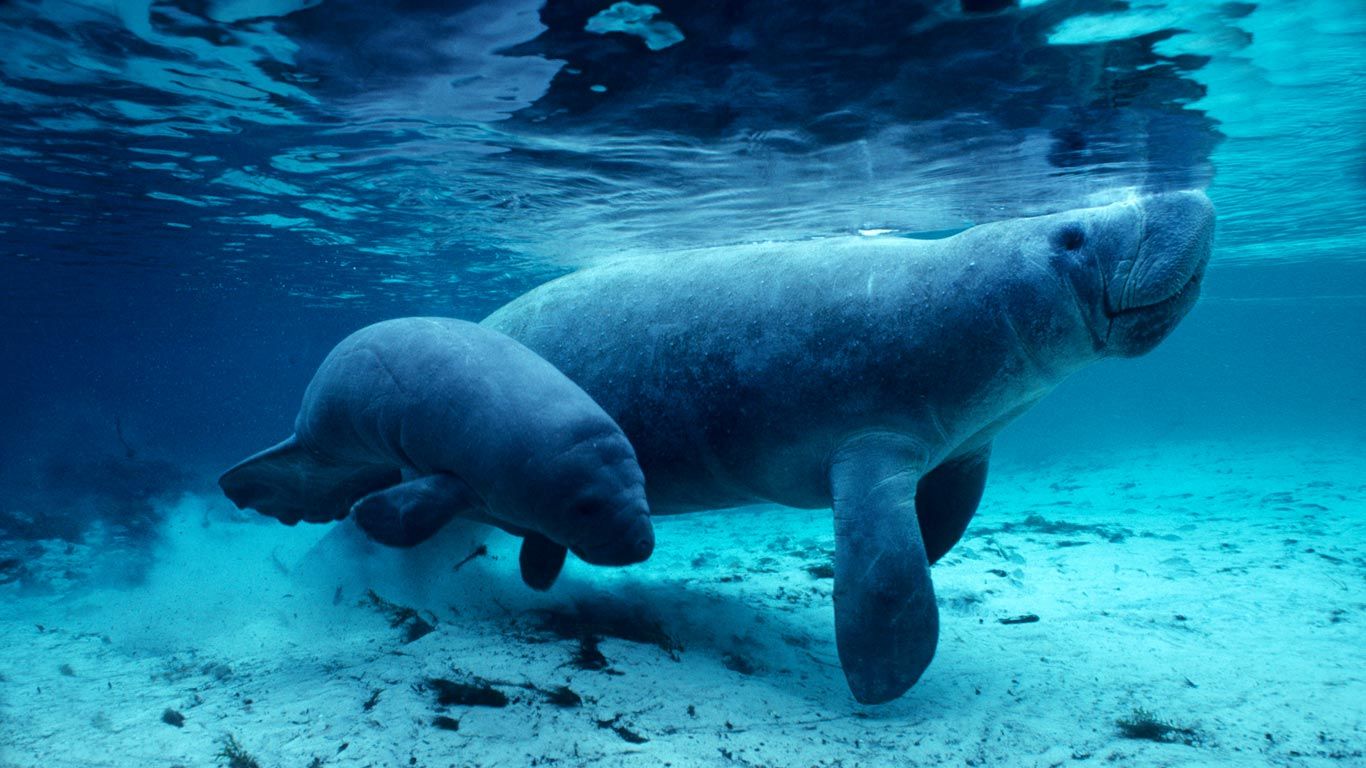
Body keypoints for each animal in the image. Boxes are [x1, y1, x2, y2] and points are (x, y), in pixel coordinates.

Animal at [219, 317, 655, 584]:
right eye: (586, 507)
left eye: (644, 488)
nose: (642, 544)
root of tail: (301, 438)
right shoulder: (466, 477)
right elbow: (419, 510)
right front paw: (367, 517)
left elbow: (545, 546)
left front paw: (537, 574)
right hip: (317, 436)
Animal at [483, 189, 1218, 699]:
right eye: (1071, 235)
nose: (1194, 198)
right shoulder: (872, 446)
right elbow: (887, 579)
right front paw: (881, 684)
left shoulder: (966, 447)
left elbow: (945, 521)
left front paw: (931, 551)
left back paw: (539, 573)